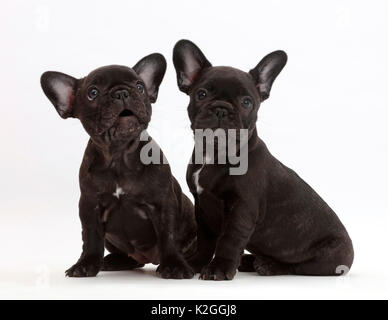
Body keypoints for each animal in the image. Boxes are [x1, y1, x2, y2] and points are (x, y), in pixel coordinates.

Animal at [41, 53, 197, 278]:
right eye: (92, 93)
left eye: (140, 87)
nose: (122, 92)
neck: (119, 155)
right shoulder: (90, 206)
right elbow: (91, 238)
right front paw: (86, 264)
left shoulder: (163, 204)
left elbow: (168, 236)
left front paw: (175, 265)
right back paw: (113, 261)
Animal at [173, 39, 354, 280]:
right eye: (201, 94)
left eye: (247, 102)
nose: (221, 109)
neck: (215, 152)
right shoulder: (202, 207)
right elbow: (205, 242)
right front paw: (194, 263)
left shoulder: (242, 209)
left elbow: (229, 241)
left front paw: (219, 268)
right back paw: (250, 261)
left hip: (330, 257)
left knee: (298, 267)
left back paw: (268, 266)